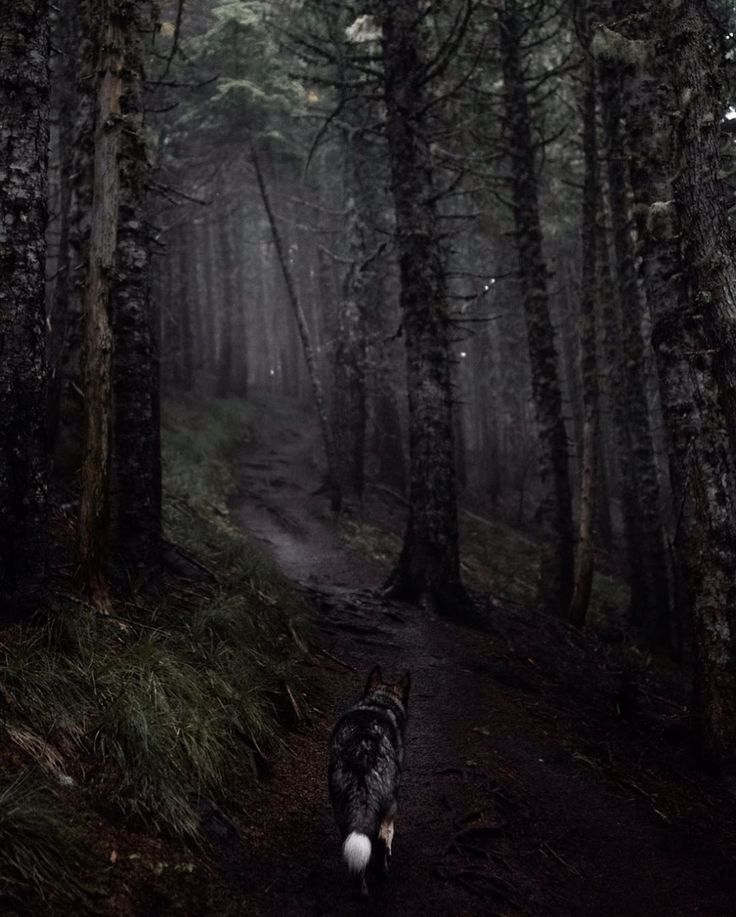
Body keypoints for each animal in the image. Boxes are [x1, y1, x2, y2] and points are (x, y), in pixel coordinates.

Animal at [330, 664, 412, 896]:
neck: (381, 700)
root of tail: (362, 752)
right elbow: (387, 838)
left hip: (342, 808)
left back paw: (361, 888)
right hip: (388, 805)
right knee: (382, 842)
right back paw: (382, 874)